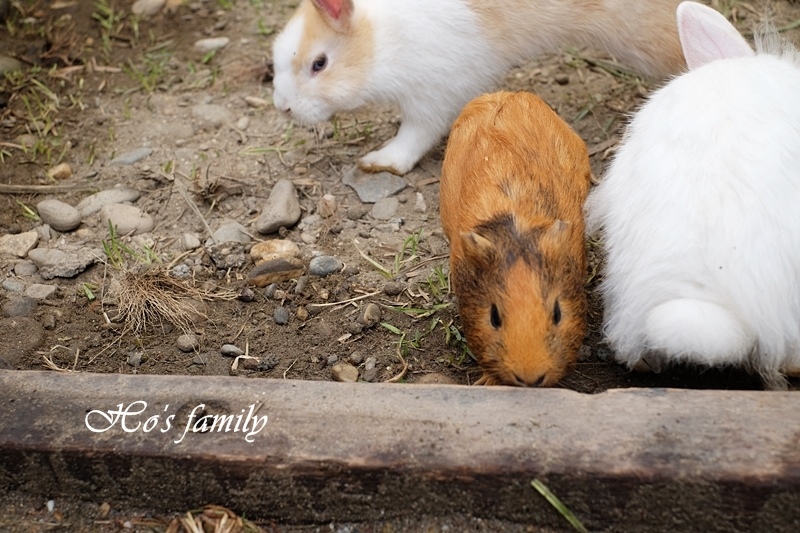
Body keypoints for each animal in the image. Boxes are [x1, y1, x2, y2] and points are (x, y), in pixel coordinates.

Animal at [270, 0, 688, 174]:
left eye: (319, 63)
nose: (283, 108)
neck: (382, 39)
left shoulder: (432, 96)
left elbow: (414, 136)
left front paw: (383, 162)